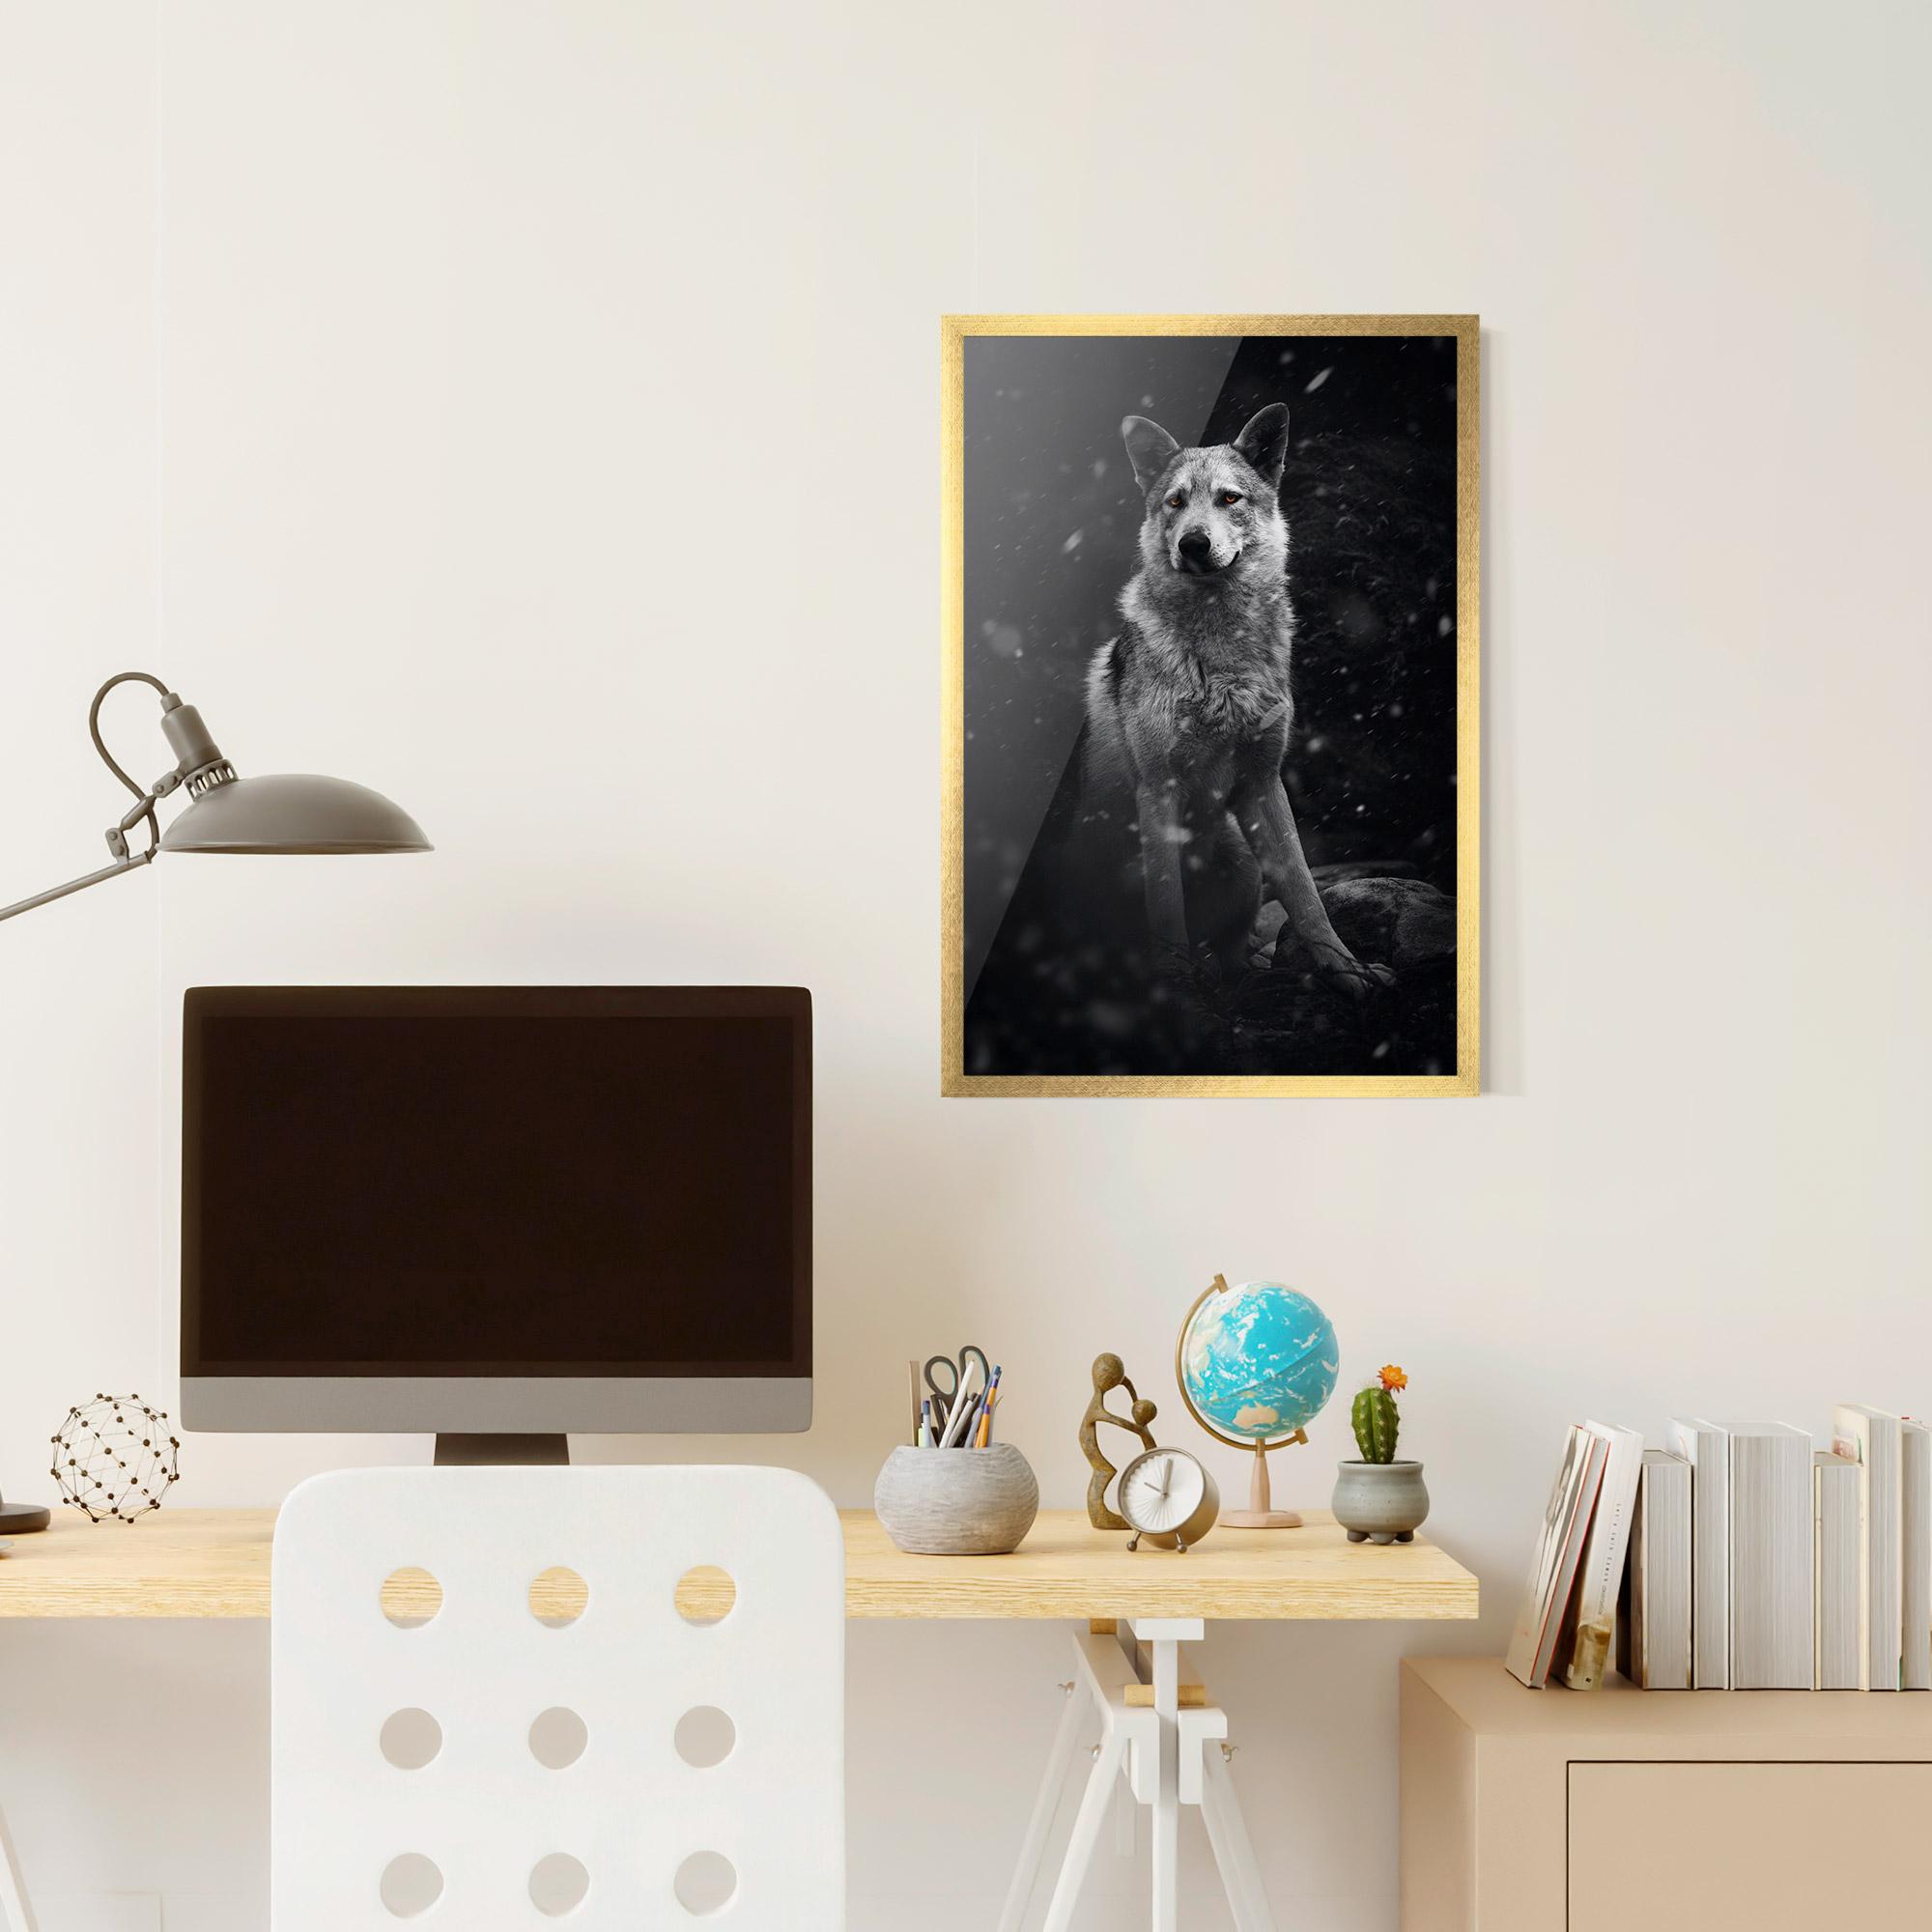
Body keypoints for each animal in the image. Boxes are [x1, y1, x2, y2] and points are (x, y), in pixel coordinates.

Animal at [1083, 402, 1392, 995]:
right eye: (1175, 502)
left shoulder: (1262, 781)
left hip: (1244, 865)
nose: (1193, 544)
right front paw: (1171, 982)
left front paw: (1346, 968)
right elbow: (1165, 901)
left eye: (1229, 498)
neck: (1222, 660)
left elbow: (1305, 890)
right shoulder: (1158, 791)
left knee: (1233, 951)